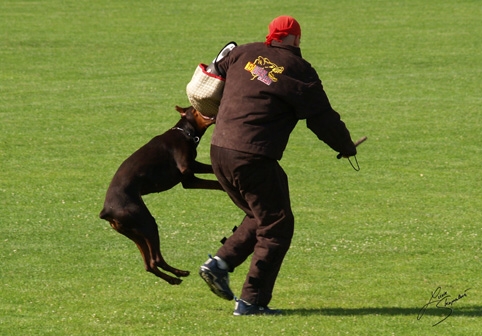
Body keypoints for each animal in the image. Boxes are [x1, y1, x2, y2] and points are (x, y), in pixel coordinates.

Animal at [101, 105, 224, 284]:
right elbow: (216, 182)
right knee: (155, 259)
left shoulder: (194, 166)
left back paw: (175, 277)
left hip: (134, 232)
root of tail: (106, 211)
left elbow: (211, 168)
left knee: (149, 264)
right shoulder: (188, 176)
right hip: (146, 223)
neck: (185, 133)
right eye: (194, 108)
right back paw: (178, 274)